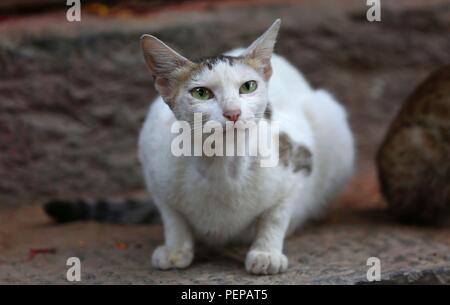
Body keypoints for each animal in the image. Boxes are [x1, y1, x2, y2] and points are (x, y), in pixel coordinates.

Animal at [138, 20, 356, 274]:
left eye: (248, 87)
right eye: (201, 93)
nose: (233, 112)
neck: (223, 161)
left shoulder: (298, 160)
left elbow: (276, 215)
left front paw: (266, 253)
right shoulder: (153, 164)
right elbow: (173, 217)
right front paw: (175, 249)